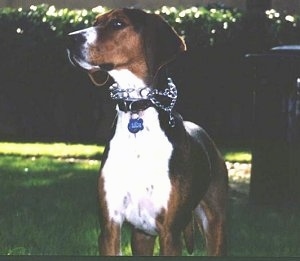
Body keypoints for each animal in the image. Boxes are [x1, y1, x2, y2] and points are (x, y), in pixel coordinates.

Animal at [67, 7, 227, 254]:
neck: (137, 108)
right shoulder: (109, 227)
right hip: (142, 236)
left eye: (117, 23)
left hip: (214, 224)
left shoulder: (170, 233)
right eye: (95, 22)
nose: (70, 39)